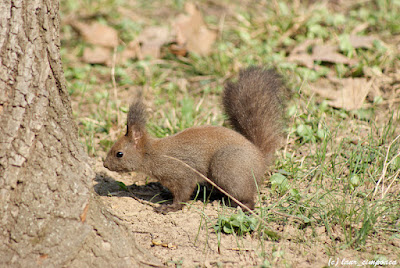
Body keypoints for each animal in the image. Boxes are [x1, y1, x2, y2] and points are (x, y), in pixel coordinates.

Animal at [104, 67, 288, 214]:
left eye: (119, 154)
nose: (105, 164)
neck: (151, 153)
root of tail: (260, 158)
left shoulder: (180, 173)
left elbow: (183, 192)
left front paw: (170, 207)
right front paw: (166, 195)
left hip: (227, 167)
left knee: (248, 197)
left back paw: (242, 207)